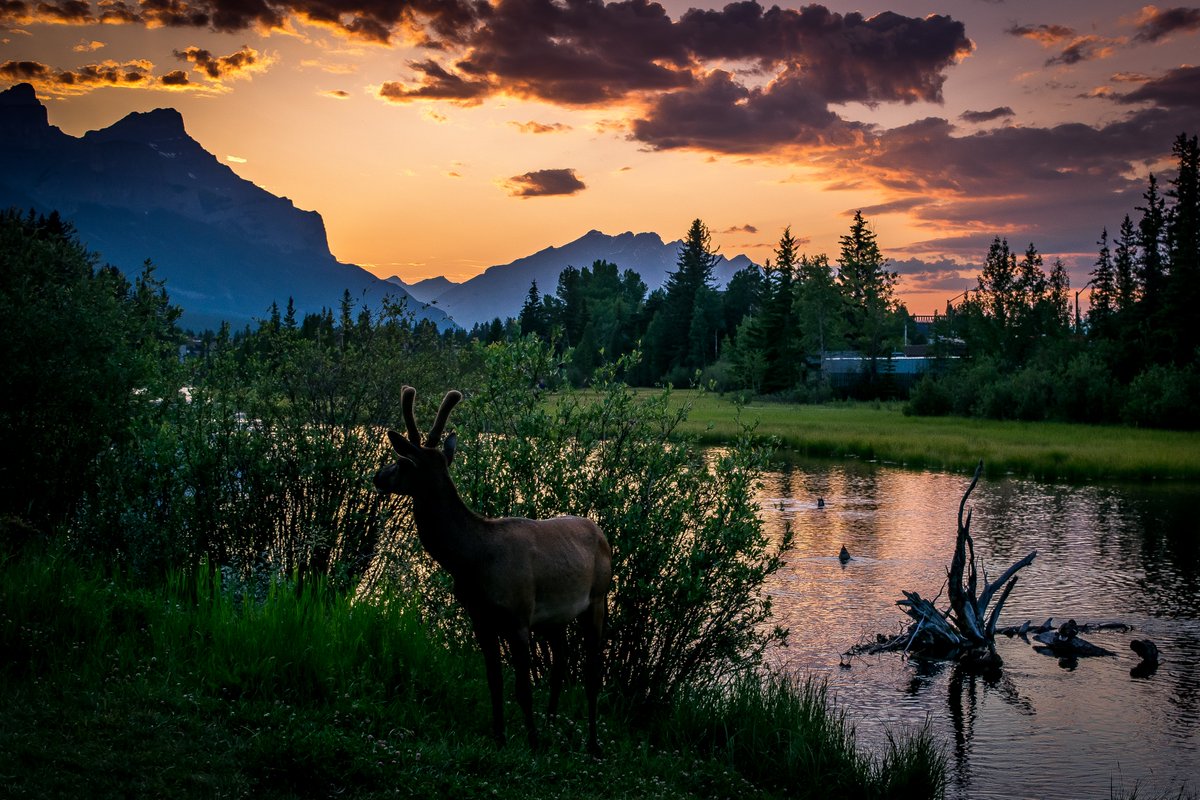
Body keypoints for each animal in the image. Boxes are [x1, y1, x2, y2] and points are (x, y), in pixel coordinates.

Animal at [373, 386, 612, 754]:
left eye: (401, 462)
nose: (377, 477)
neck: (471, 558)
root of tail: (601, 533)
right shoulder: (480, 617)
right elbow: (494, 682)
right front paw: (499, 736)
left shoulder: (517, 615)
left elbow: (523, 687)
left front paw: (532, 743)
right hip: (554, 617)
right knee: (560, 662)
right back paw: (552, 723)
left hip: (598, 597)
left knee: (591, 669)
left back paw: (592, 742)